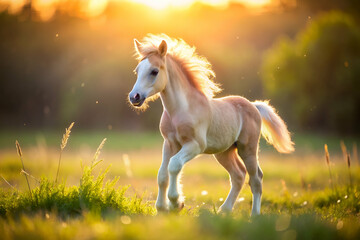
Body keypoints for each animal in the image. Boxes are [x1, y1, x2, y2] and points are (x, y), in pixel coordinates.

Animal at [128, 34, 294, 216]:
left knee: (256, 178)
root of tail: (253, 106)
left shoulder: (195, 145)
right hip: (224, 152)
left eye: (154, 71)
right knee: (239, 175)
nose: (134, 97)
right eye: (137, 71)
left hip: (248, 148)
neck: (181, 110)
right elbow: (162, 174)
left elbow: (174, 165)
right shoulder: (170, 143)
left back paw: (254, 215)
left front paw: (175, 203)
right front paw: (161, 208)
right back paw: (224, 210)